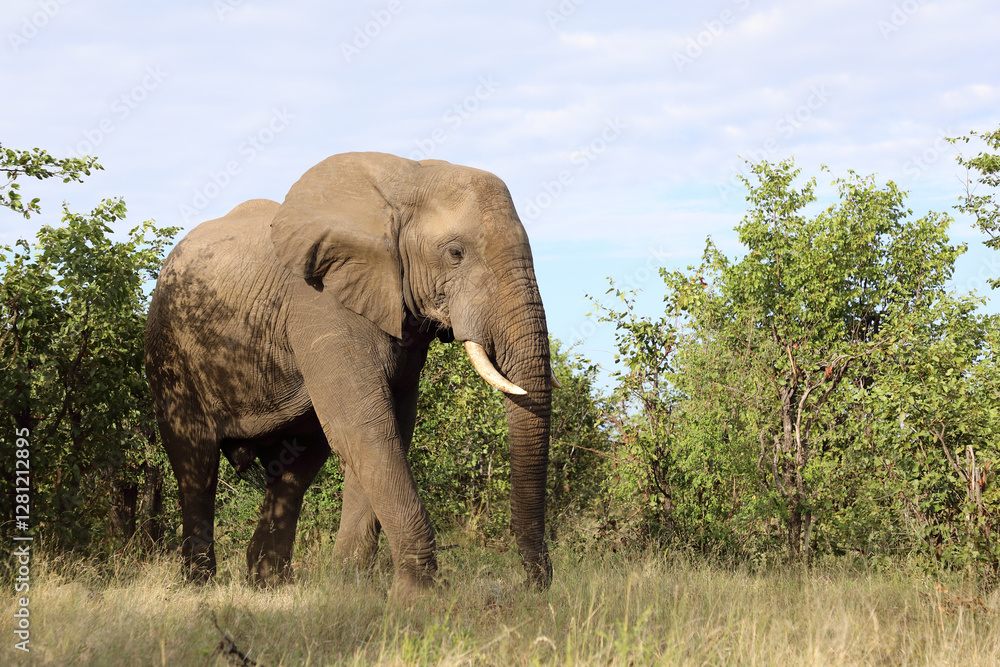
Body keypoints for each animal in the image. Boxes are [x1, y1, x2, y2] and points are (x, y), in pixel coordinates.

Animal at [144, 152, 556, 595]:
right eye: (455, 253)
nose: (535, 585)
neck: (408, 179)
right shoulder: (320, 302)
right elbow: (366, 427)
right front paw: (414, 597)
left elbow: (387, 429)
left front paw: (347, 587)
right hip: (171, 350)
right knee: (196, 461)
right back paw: (198, 583)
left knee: (295, 470)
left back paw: (269, 584)